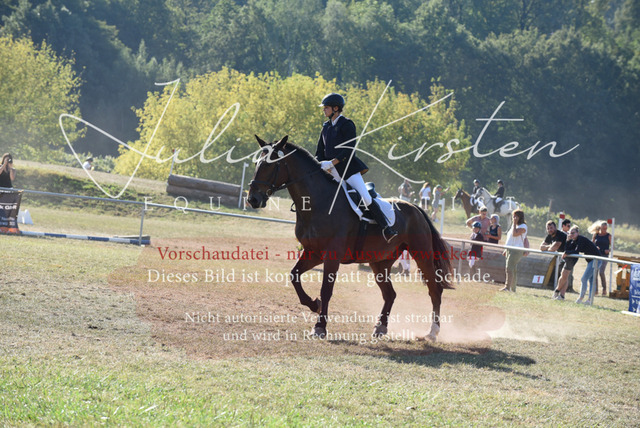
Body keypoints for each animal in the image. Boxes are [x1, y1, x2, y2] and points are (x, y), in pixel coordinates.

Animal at [247, 136, 453, 341]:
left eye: (270, 165)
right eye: (256, 163)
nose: (253, 199)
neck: (317, 202)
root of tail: (416, 208)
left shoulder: (332, 255)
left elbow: (326, 290)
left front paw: (320, 327)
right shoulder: (313, 253)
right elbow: (294, 275)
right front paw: (314, 304)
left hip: (422, 254)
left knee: (435, 290)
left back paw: (432, 332)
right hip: (380, 262)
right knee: (390, 294)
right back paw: (380, 327)